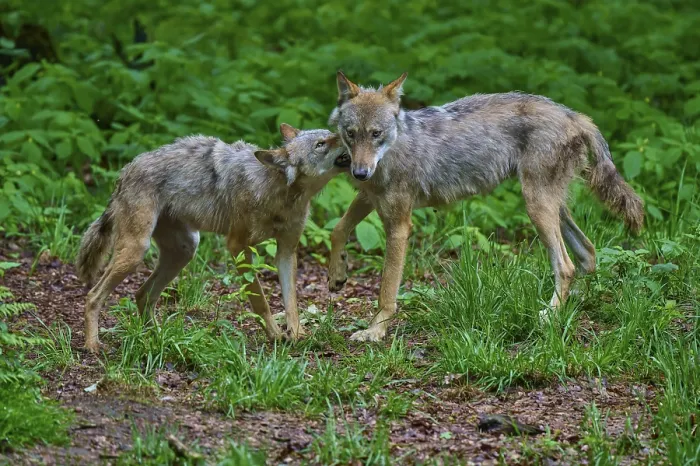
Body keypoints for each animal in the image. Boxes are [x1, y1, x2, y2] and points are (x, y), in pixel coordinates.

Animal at [75, 124, 350, 352]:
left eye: (328, 133)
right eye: (321, 144)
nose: (346, 131)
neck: (277, 190)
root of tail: (125, 171)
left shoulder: (286, 251)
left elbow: (291, 301)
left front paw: (297, 335)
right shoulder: (238, 246)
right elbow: (260, 300)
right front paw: (275, 336)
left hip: (185, 250)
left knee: (142, 294)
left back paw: (161, 338)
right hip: (136, 252)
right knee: (93, 296)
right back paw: (93, 345)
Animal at [327, 71, 644, 342]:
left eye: (376, 134)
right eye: (351, 133)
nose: (359, 173)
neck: (392, 149)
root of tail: (574, 115)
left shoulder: (399, 225)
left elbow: (387, 290)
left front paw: (374, 332)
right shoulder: (368, 198)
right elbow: (338, 230)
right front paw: (336, 276)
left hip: (537, 208)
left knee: (565, 266)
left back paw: (549, 316)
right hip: (552, 207)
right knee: (587, 252)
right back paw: (573, 303)